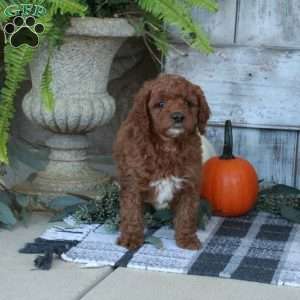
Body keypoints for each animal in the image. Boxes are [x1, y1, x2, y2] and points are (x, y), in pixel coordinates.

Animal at [113, 73, 211, 251]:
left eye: (189, 103)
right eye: (161, 104)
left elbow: (187, 213)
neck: (168, 145)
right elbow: (132, 213)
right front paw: (131, 238)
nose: (178, 116)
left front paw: (187, 239)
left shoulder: (189, 183)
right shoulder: (133, 183)